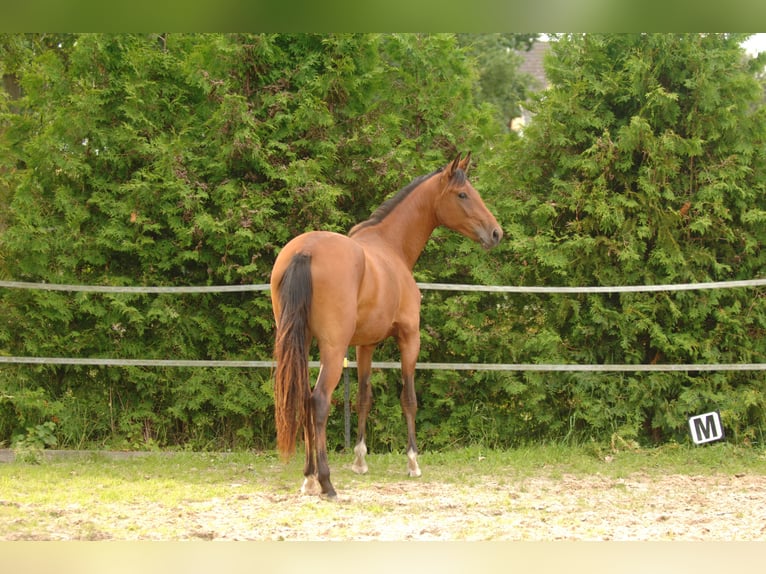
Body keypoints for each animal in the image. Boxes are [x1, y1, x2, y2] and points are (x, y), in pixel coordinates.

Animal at [270, 154, 504, 500]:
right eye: (463, 194)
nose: (496, 233)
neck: (391, 247)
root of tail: (305, 250)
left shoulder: (364, 345)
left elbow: (363, 397)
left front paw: (360, 460)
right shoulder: (409, 338)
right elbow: (409, 398)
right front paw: (413, 463)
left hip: (301, 343)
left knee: (304, 399)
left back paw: (309, 478)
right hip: (332, 348)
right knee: (319, 401)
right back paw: (325, 481)